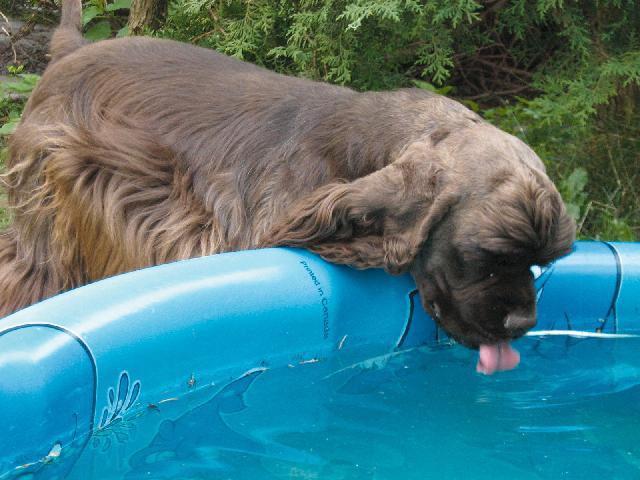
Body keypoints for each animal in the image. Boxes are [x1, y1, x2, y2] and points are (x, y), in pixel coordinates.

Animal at [0, 0, 576, 352]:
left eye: (542, 259)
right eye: (487, 256)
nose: (524, 325)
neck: (360, 145)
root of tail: (70, 51)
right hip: (49, 223)